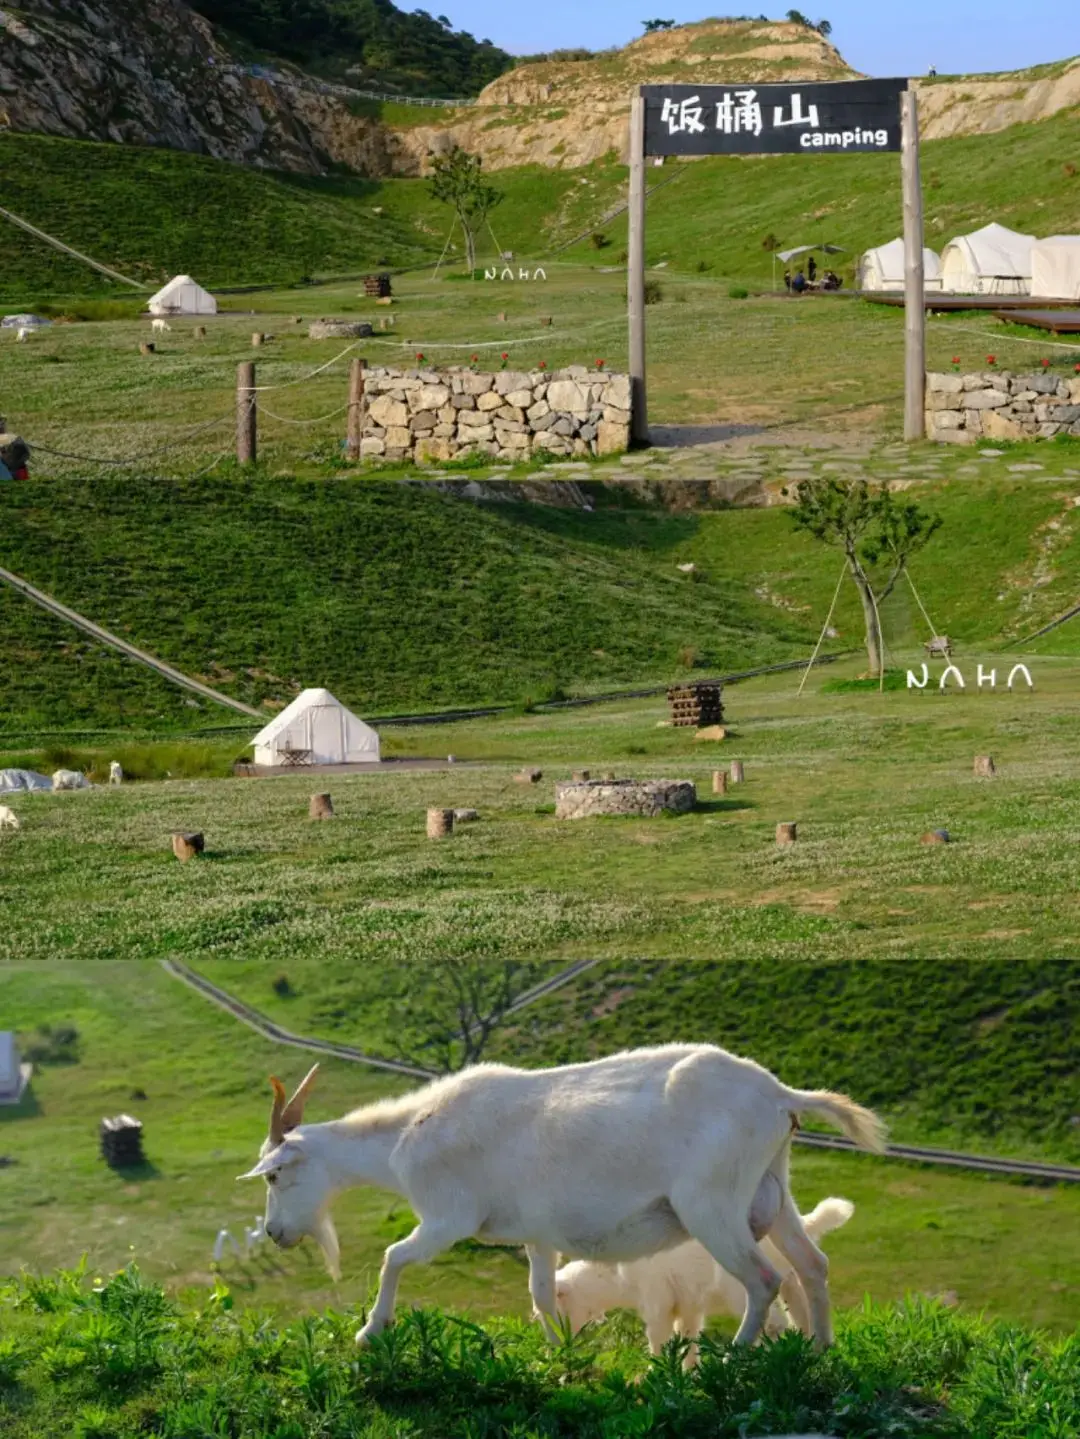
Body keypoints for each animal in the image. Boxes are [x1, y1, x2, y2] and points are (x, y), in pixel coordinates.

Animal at [240, 1047, 880, 1346]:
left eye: (273, 1176)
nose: (274, 1233)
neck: (405, 1135)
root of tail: (779, 1095)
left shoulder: (449, 1217)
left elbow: (393, 1256)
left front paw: (370, 1331)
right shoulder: (536, 1234)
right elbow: (541, 1295)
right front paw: (562, 1349)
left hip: (712, 1205)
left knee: (764, 1279)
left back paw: (733, 1357)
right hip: (773, 1187)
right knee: (811, 1265)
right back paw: (821, 1349)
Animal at [557, 1197, 851, 1364]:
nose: (561, 1345)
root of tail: (806, 1223)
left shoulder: (657, 1301)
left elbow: (658, 1341)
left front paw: (656, 1379)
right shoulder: (688, 1306)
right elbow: (686, 1340)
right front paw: (687, 1377)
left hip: (743, 1287)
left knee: (775, 1323)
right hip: (791, 1280)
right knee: (801, 1312)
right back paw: (809, 1351)